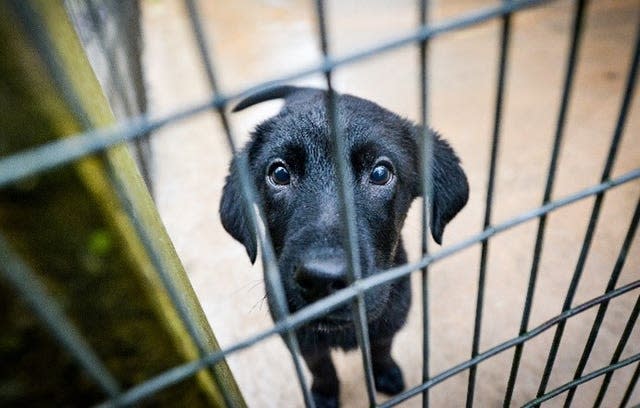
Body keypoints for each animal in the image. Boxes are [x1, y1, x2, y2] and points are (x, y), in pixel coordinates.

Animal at [219, 84, 464, 406]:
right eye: (279, 174)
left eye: (380, 173)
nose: (322, 280)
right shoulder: (300, 337)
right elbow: (321, 367)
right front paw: (324, 394)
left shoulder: (389, 320)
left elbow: (382, 350)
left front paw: (385, 373)